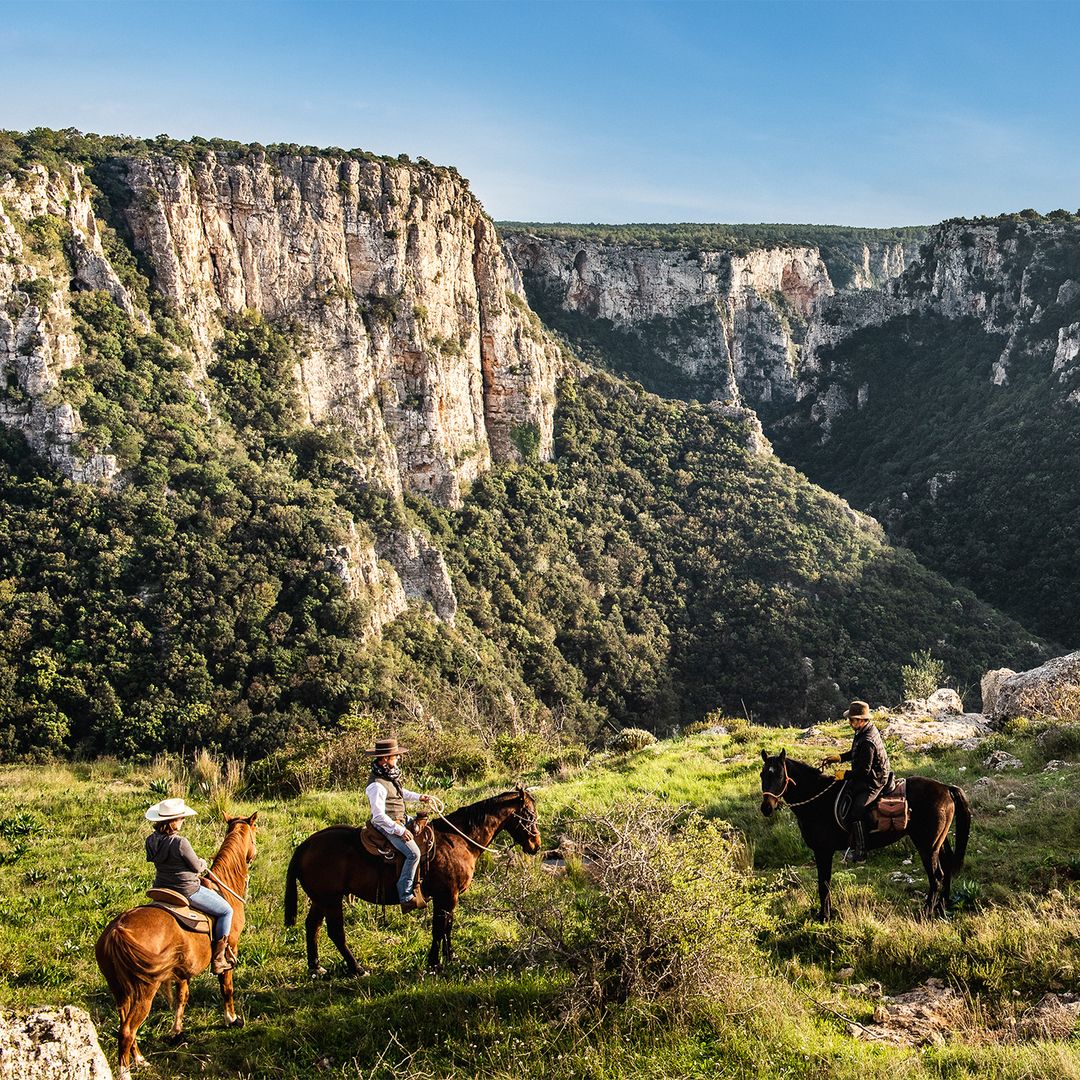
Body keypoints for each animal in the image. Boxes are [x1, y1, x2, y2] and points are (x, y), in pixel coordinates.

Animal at [93, 812, 258, 1075]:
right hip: (144, 990)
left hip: (120, 989)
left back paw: (140, 1059)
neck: (224, 888)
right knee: (127, 1030)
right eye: (255, 834)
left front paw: (176, 1031)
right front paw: (232, 1019)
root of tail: (117, 931)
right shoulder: (230, 947)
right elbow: (227, 987)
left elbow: (182, 996)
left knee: (124, 1024)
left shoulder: (182, 970)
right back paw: (126, 1071)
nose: (254, 854)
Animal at [285, 790, 540, 976]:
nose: (536, 845)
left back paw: (316, 967)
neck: (459, 840)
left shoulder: (449, 898)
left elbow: (447, 927)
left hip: (320, 900)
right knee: (335, 932)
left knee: (313, 926)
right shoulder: (446, 895)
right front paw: (435, 963)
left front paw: (450, 957)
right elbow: (439, 928)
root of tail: (305, 846)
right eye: (528, 814)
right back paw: (357, 969)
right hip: (331, 900)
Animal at [760, 751, 972, 920]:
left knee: (936, 877)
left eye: (779, 775)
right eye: (762, 774)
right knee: (946, 867)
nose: (766, 808)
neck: (817, 800)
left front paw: (824, 916)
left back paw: (926, 913)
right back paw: (942, 908)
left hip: (927, 846)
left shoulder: (823, 851)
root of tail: (946, 788)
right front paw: (825, 914)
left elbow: (824, 884)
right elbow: (824, 883)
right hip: (938, 842)